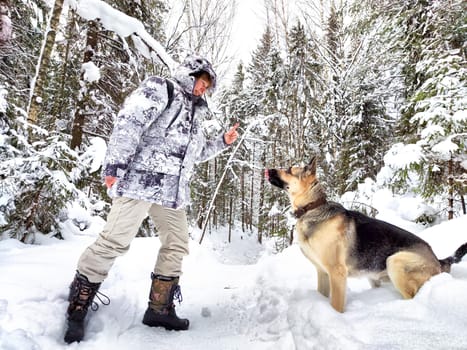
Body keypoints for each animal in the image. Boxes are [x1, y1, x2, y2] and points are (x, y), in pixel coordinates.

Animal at [266, 157, 467, 314]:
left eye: (289, 169)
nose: (268, 169)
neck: (312, 208)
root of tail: (437, 259)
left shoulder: (337, 273)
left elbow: (336, 305)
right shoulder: (322, 272)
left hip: (395, 261)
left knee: (412, 297)